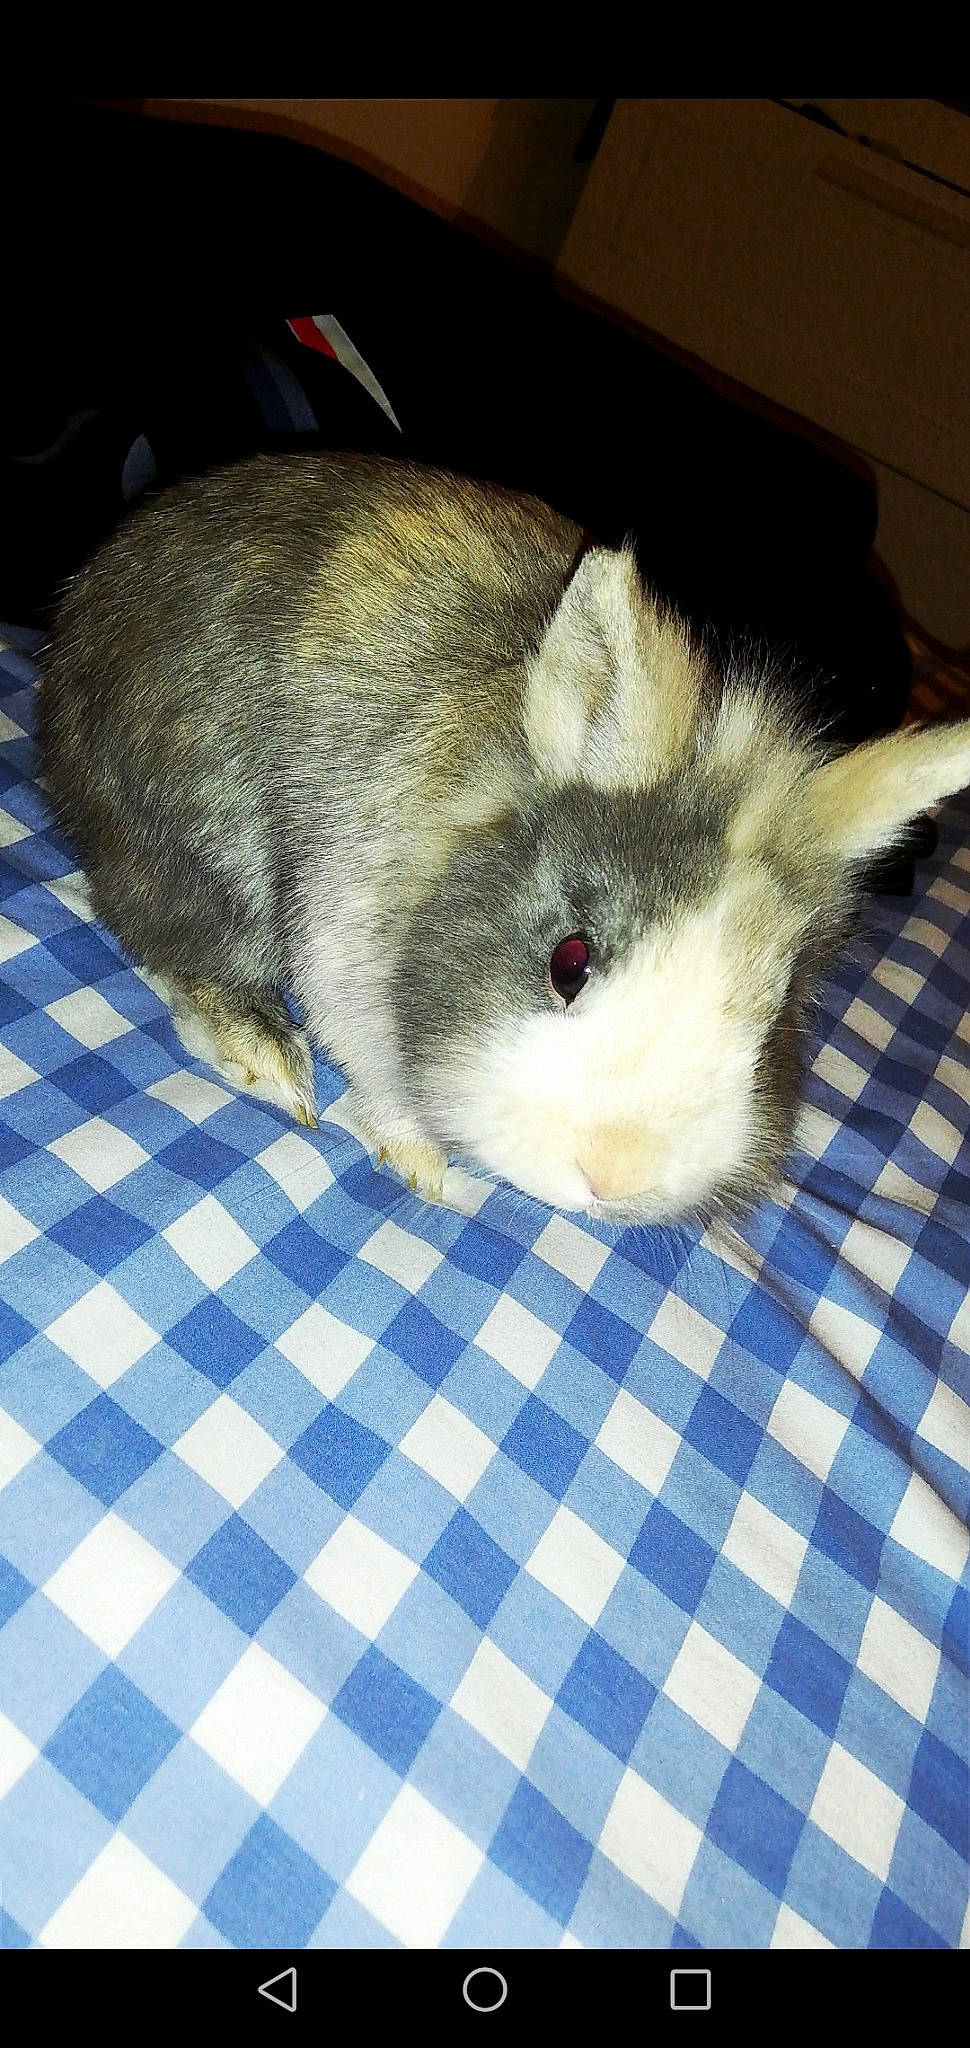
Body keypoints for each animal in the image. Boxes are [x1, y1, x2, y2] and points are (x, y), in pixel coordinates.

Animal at [37, 451, 970, 1225]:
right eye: (569, 961)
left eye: (773, 1026)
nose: (613, 1177)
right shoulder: (344, 954)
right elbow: (377, 1072)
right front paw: (419, 1164)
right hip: (197, 845)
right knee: (171, 938)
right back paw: (265, 1055)